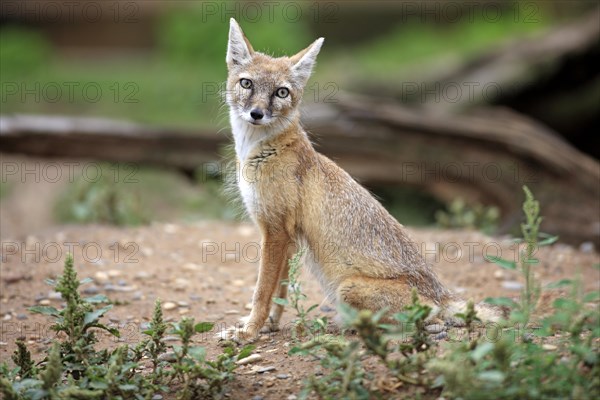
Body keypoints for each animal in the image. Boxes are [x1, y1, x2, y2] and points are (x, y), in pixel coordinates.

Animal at [220, 18, 502, 340]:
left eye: (281, 92)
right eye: (247, 83)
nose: (256, 114)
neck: (259, 151)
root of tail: (441, 295)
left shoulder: (276, 231)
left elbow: (262, 291)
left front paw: (249, 330)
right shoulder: (286, 236)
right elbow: (279, 292)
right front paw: (269, 325)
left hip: (347, 287)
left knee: (425, 321)